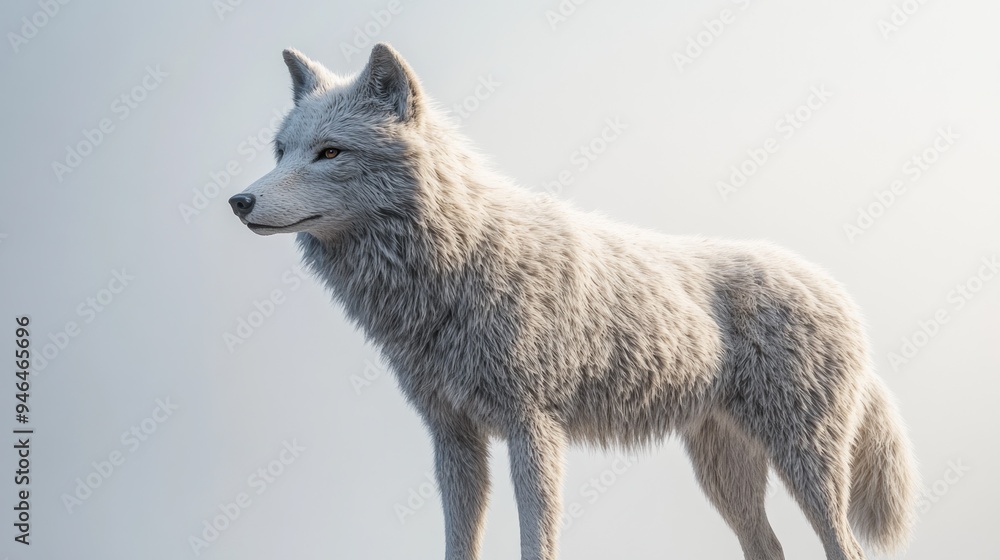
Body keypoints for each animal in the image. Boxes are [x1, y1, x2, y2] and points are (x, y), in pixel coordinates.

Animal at [228, 43, 918, 560]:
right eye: (281, 152)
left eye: (330, 152)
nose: (238, 201)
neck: (456, 267)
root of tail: (837, 291)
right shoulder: (454, 438)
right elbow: (459, 543)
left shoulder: (533, 427)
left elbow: (537, 540)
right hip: (724, 473)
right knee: (769, 548)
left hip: (804, 465)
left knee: (845, 548)